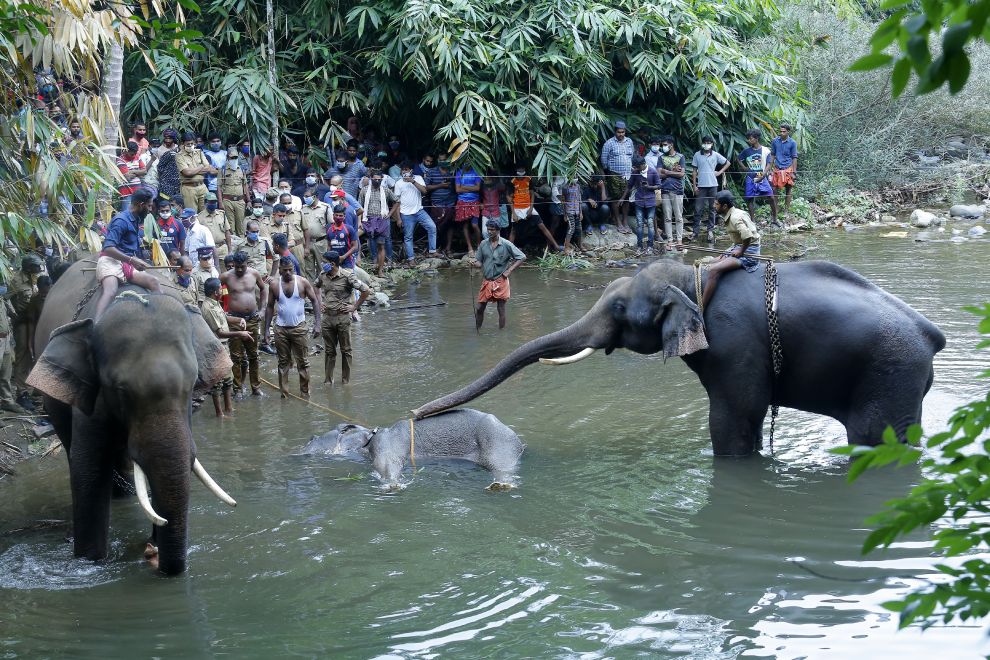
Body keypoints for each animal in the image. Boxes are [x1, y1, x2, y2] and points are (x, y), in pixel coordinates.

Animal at [26, 260, 236, 576]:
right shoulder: (93, 396)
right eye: (121, 392)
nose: (155, 555)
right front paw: (89, 563)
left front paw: (153, 547)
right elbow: (89, 471)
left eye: (192, 384)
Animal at [302, 410, 528, 488]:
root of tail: (520, 444)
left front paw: (393, 485)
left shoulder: (386, 444)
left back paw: (500, 485)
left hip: (497, 443)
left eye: (312, 439)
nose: (310, 437)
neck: (370, 435)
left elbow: (386, 463)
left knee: (501, 467)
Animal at [414, 260, 948, 456]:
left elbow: (735, 418)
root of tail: (932, 336)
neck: (697, 276)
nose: (416, 414)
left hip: (890, 372)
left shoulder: (735, 344)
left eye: (619, 309)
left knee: (876, 438)